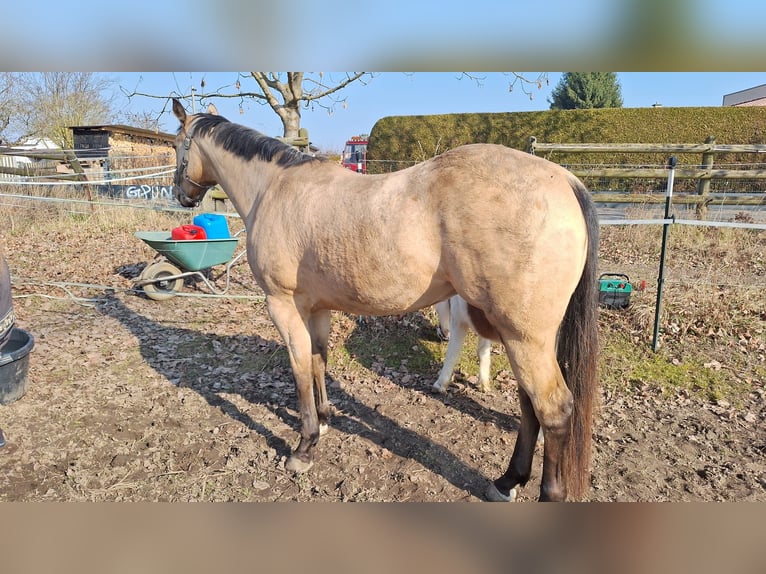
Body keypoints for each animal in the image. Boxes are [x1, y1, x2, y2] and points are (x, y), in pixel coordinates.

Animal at [170, 98, 600, 502]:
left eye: (177, 145)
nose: (180, 195)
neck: (275, 188)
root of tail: (565, 180)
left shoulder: (282, 305)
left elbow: (300, 368)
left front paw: (305, 447)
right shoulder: (316, 308)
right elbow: (318, 360)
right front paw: (324, 420)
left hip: (523, 336)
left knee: (553, 410)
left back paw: (546, 492)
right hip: (524, 336)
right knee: (529, 406)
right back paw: (507, 481)